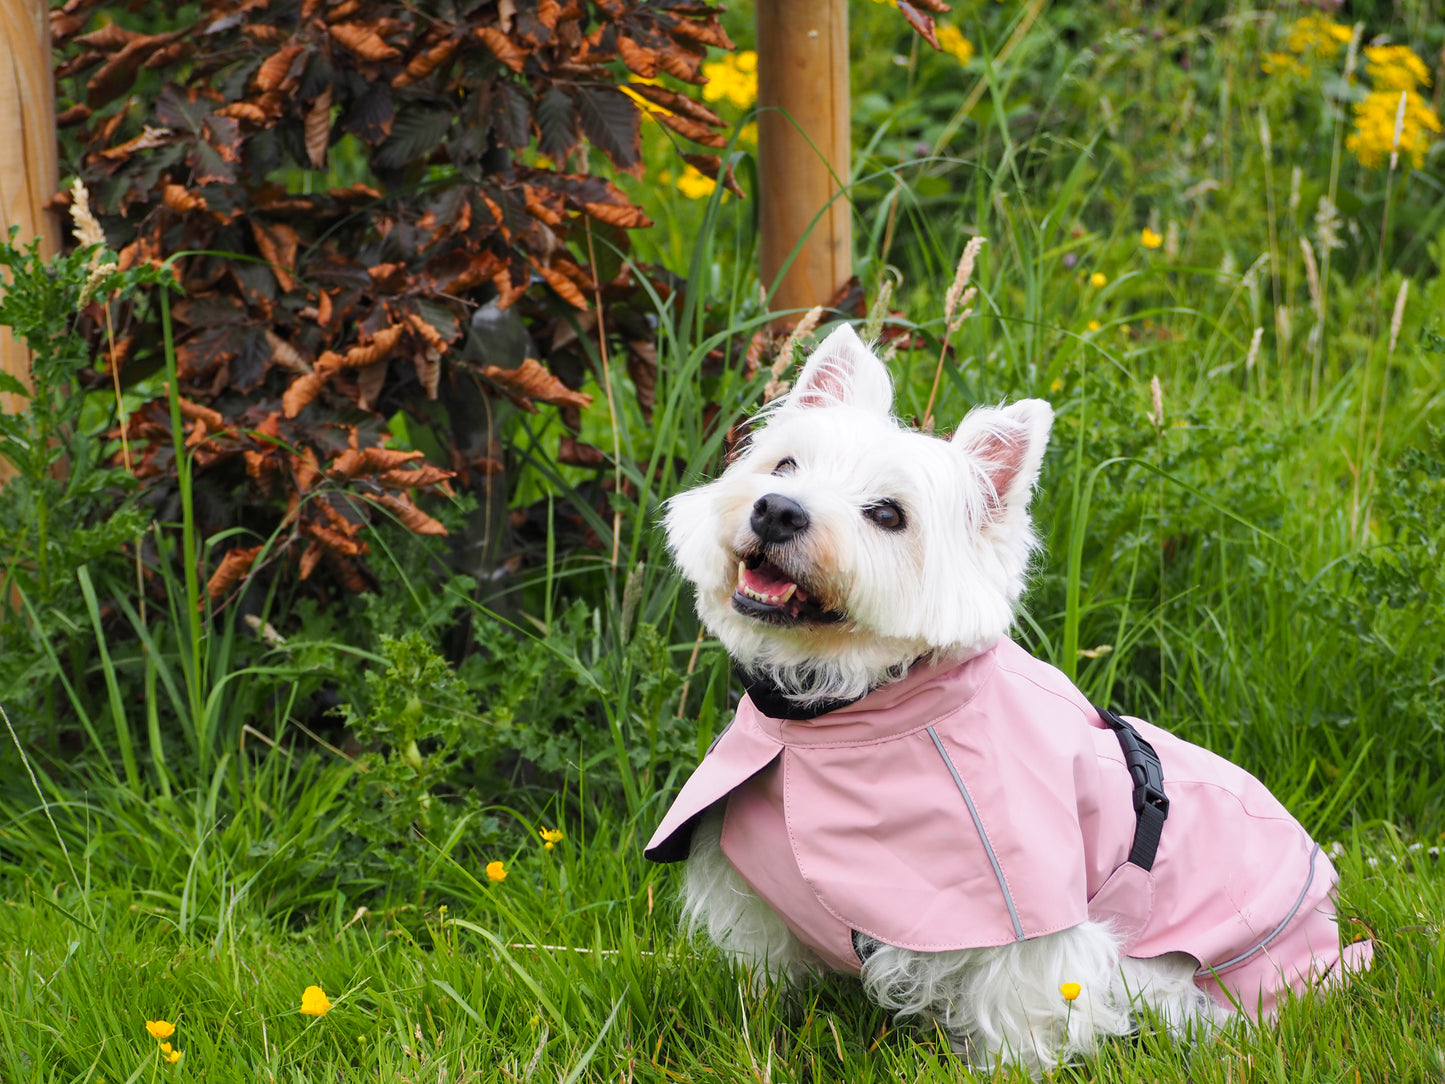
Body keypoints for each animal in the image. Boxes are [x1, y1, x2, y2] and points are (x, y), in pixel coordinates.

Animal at [650, 326, 1369, 1075]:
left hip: (1177, 977)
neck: (824, 720)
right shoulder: (754, 894)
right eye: (785, 464)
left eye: (887, 514)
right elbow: (762, 986)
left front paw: (1006, 1070)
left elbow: (1022, 1010)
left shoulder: (1026, 917)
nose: (777, 509)